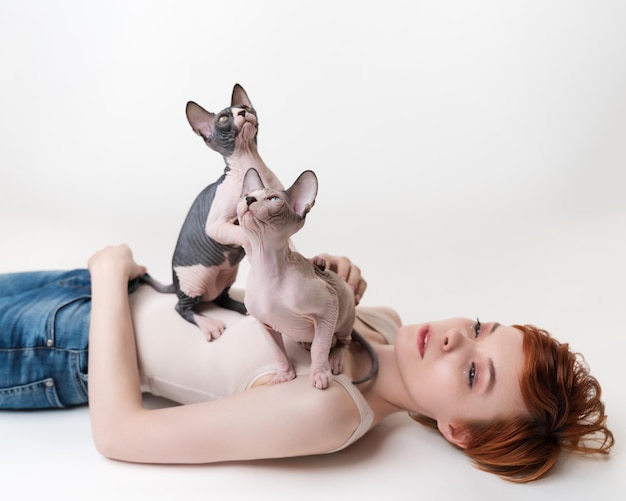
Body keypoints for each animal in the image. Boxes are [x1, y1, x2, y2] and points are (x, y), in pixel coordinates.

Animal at [144, 84, 282, 342]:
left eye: (245, 107)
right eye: (224, 119)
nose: (243, 113)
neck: (252, 164)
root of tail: (175, 283)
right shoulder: (216, 225)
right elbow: (243, 233)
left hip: (227, 276)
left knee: (222, 299)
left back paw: (244, 308)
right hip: (193, 282)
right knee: (182, 308)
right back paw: (210, 325)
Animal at [236, 167, 378, 386]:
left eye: (274, 199)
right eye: (245, 195)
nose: (249, 199)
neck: (266, 264)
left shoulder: (328, 307)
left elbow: (320, 347)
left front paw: (320, 374)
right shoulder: (264, 324)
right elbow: (278, 353)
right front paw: (285, 375)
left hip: (345, 310)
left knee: (342, 341)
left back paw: (335, 359)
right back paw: (305, 342)